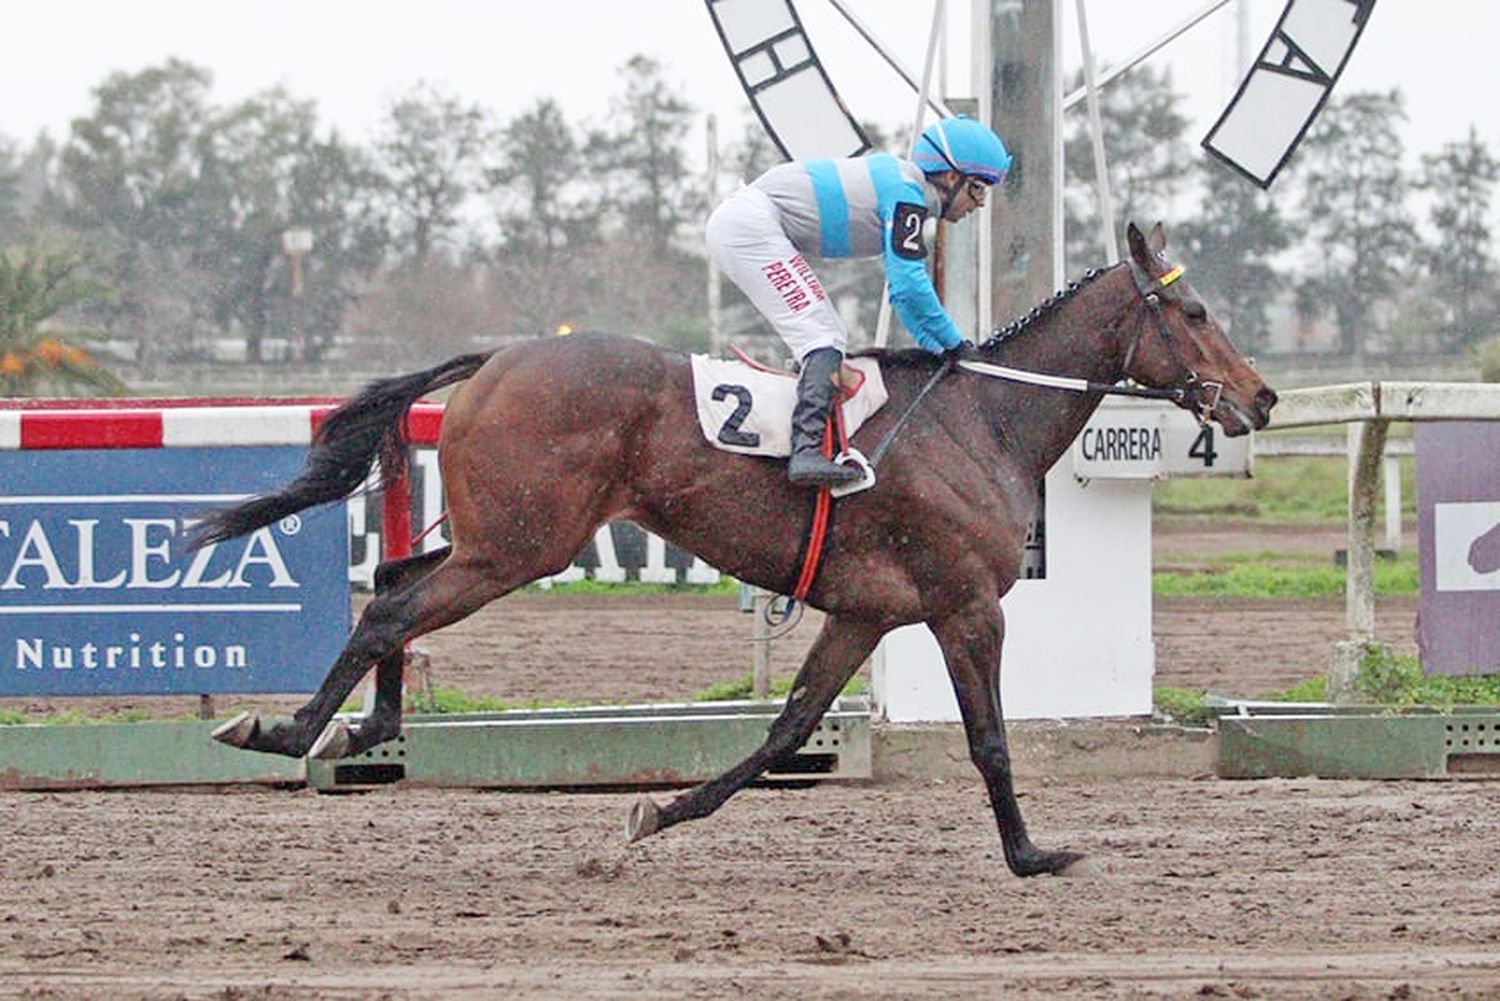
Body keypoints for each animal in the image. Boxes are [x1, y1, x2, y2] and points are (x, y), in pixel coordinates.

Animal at [202, 225, 1278, 876]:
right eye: (1192, 313)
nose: (1261, 397)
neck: (983, 419)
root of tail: (497, 356)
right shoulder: (965, 605)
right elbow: (991, 740)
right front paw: (1033, 853)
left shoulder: (866, 610)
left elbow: (788, 727)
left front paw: (662, 811)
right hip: (519, 544)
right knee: (391, 605)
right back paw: (288, 730)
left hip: (499, 537)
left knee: (391, 580)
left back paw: (363, 730)